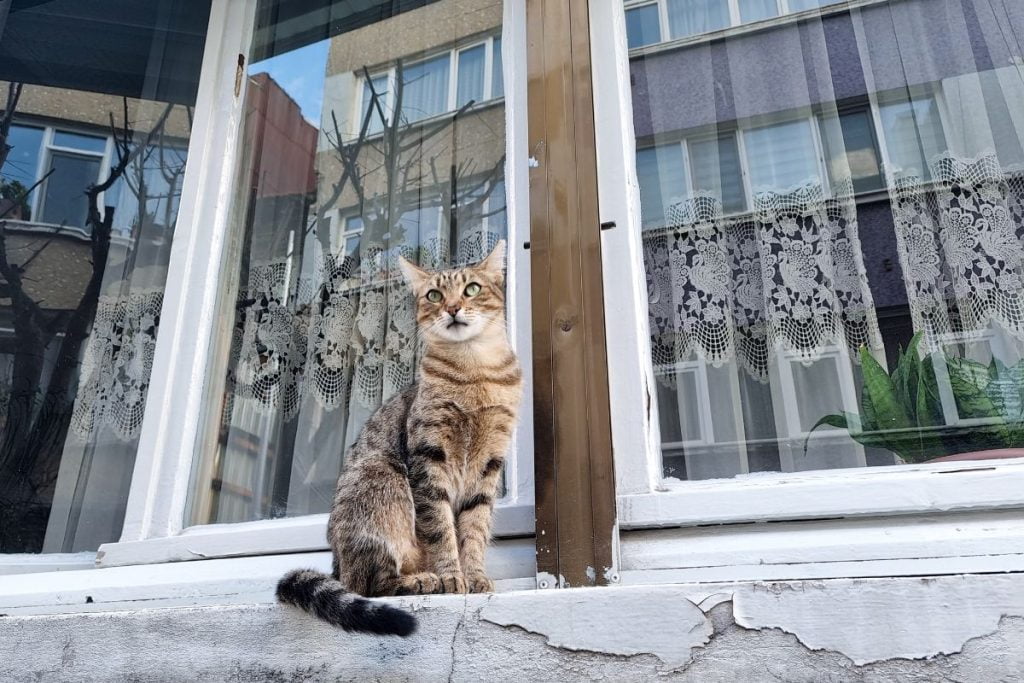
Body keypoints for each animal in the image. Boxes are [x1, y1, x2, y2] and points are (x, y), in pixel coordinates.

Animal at [276, 239, 520, 634]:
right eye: (434, 295)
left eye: (471, 289)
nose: (453, 308)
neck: (475, 372)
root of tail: (336, 565)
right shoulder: (428, 458)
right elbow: (441, 529)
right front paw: (452, 576)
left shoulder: (489, 464)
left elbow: (475, 529)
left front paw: (475, 576)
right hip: (384, 482)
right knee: (370, 585)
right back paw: (423, 580)